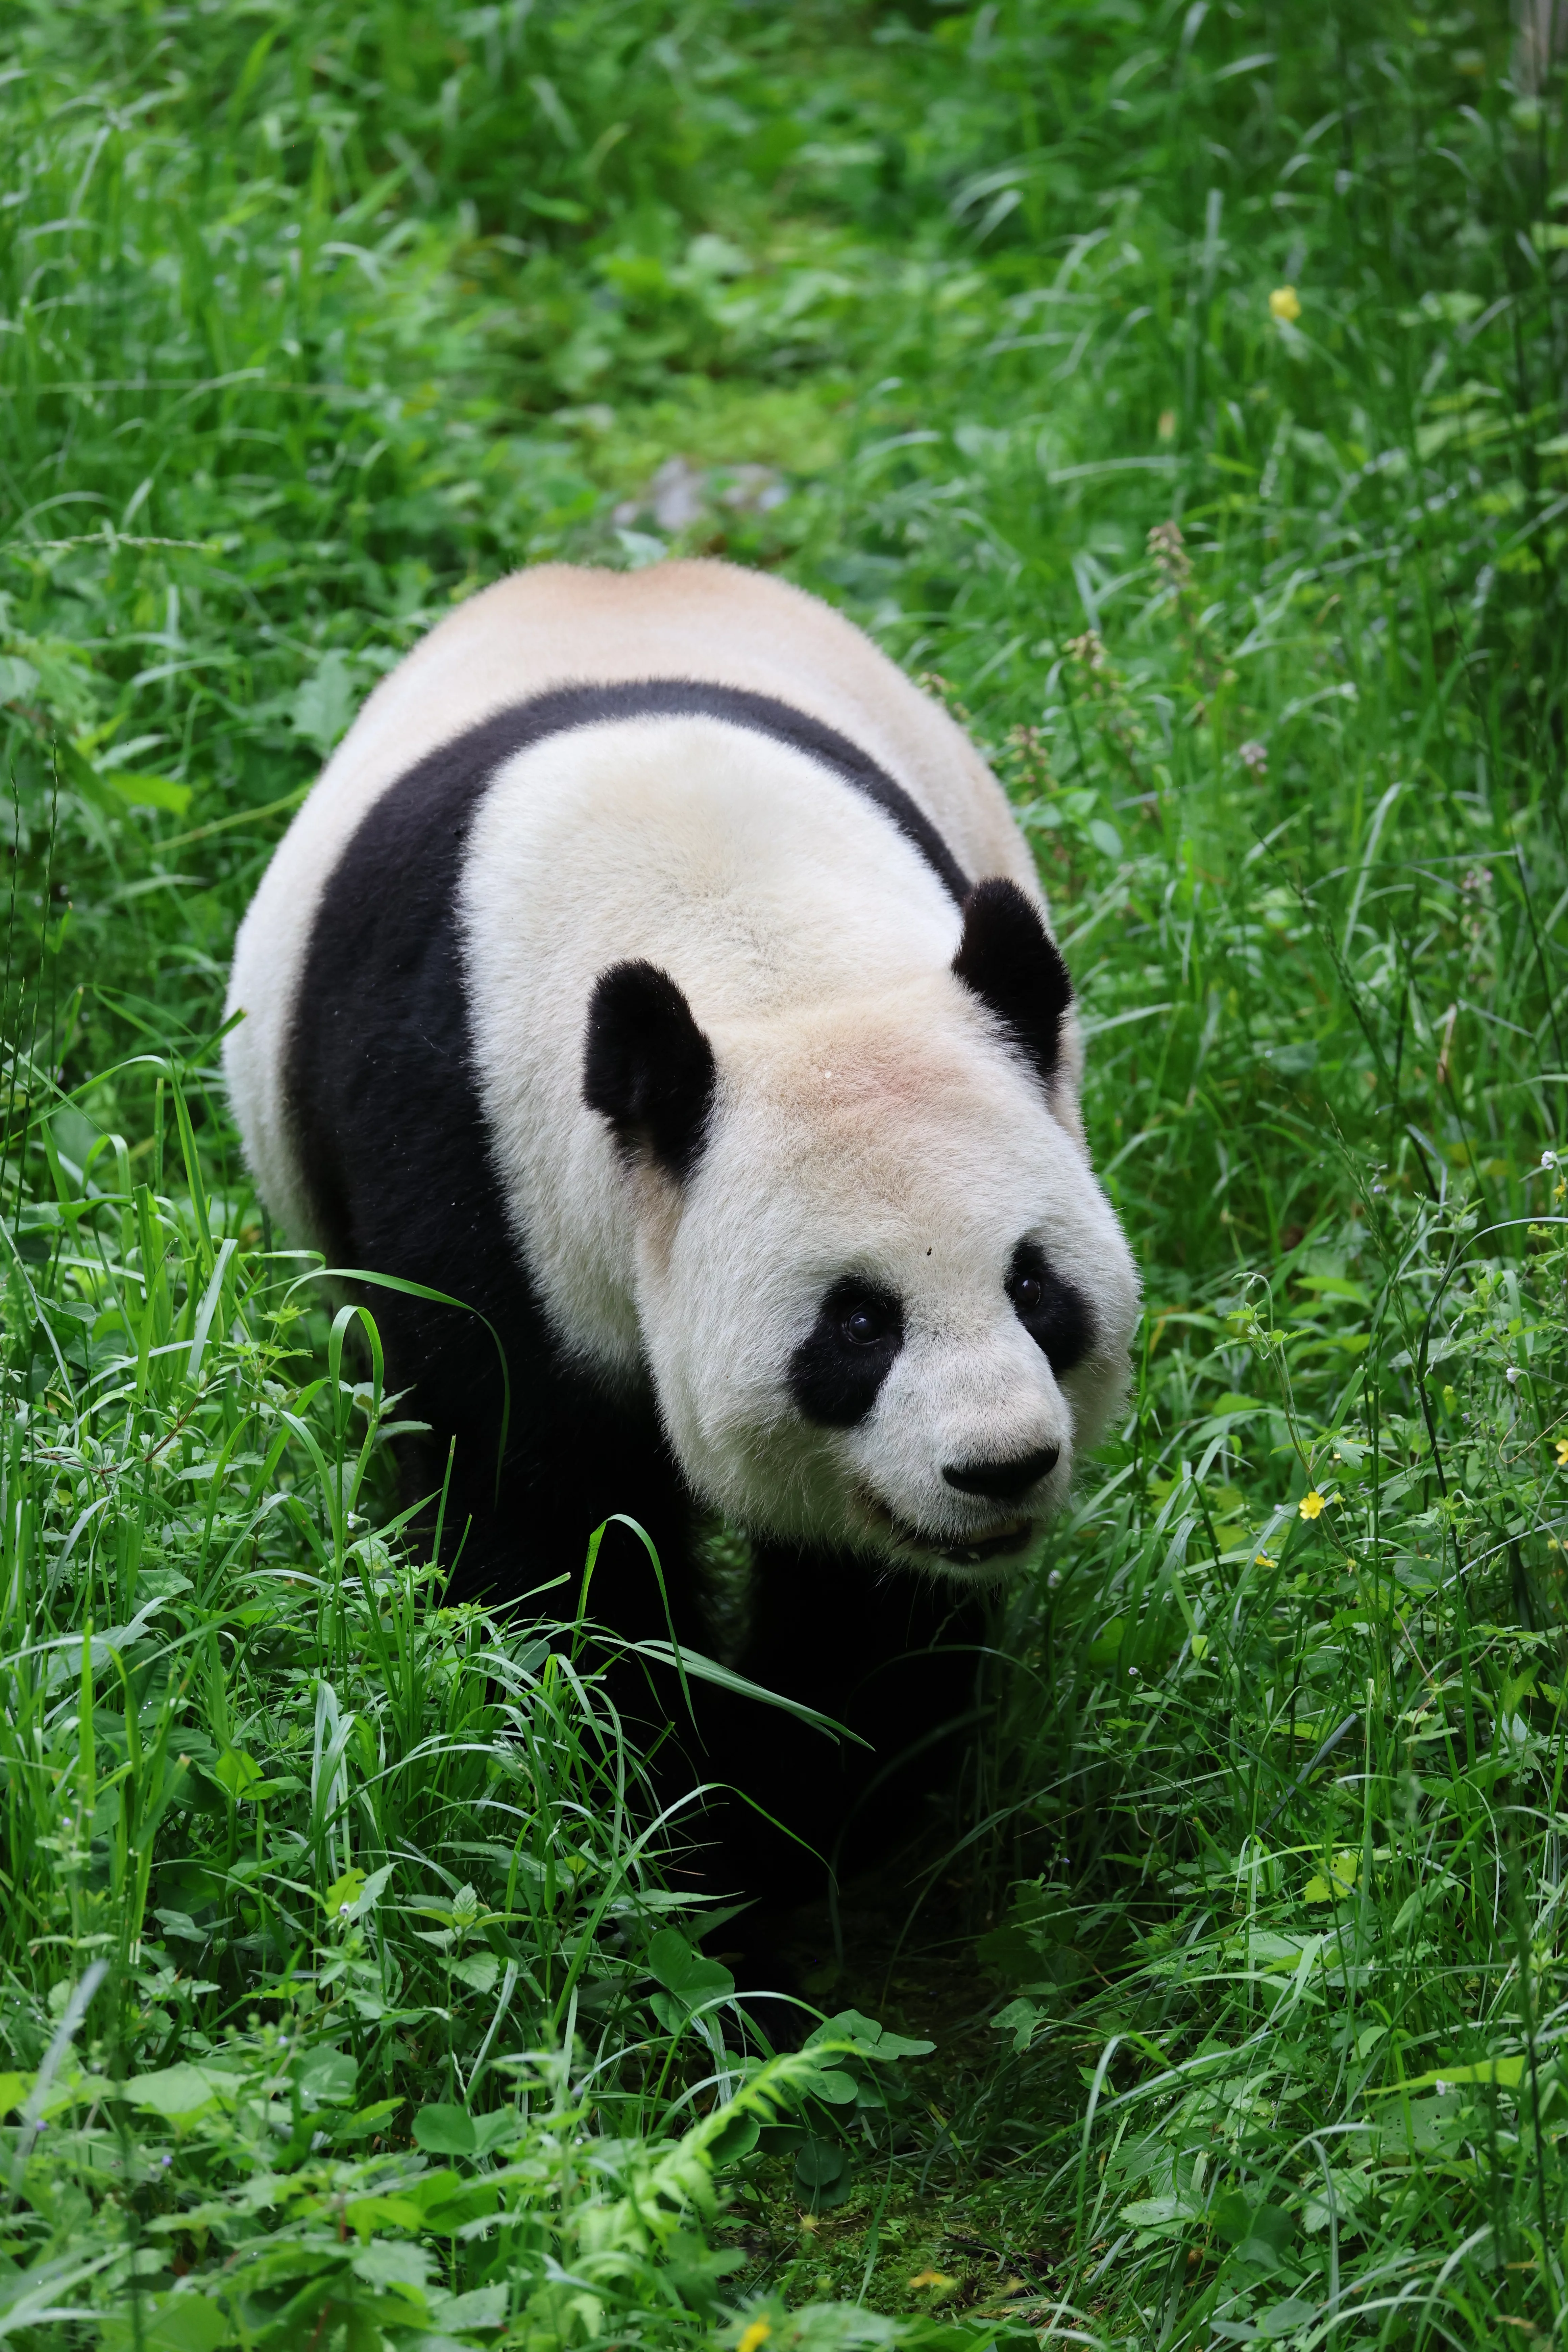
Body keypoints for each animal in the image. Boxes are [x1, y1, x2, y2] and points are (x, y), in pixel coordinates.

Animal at [224, 558, 1140, 1985]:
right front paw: (675, 1845)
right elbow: (550, 1534)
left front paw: (787, 1821)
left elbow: (863, 1604)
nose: (998, 1468)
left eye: (1035, 1286)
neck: (759, 954)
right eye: (856, 1324)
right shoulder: (471, 1159)